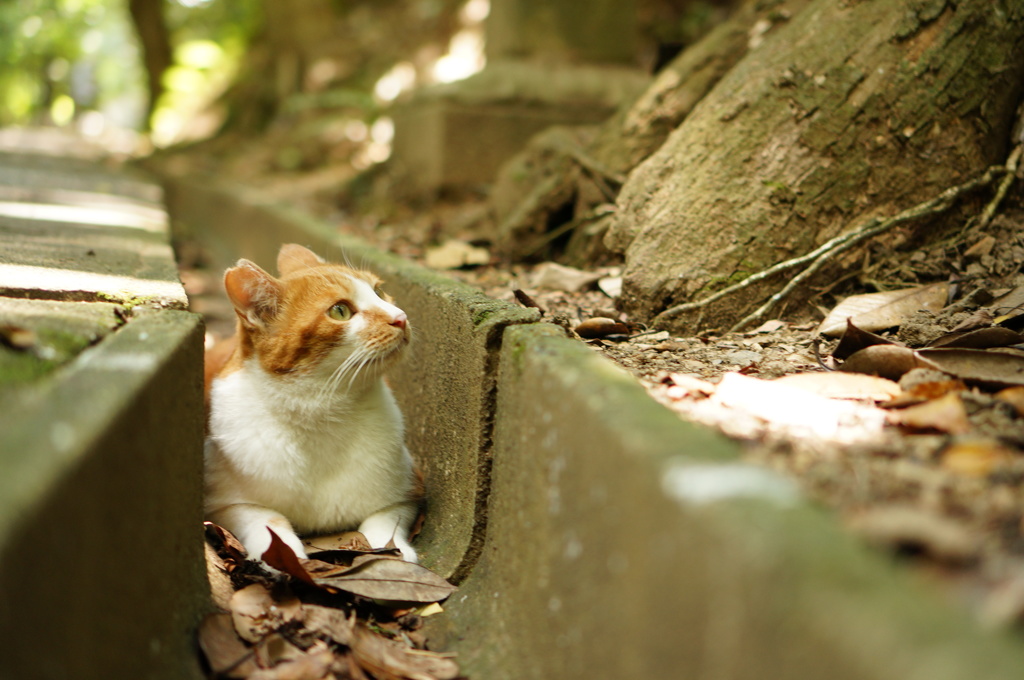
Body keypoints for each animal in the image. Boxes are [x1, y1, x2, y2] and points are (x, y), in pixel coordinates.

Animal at [203, 244, 419, 561]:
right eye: (340, 311)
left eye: (379, 291)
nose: (401, 316)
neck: (322, 412)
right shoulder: (223, 503)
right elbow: (267, 519)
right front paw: (283, 556)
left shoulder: (408, 492)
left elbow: (383, 522)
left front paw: (394, 553)